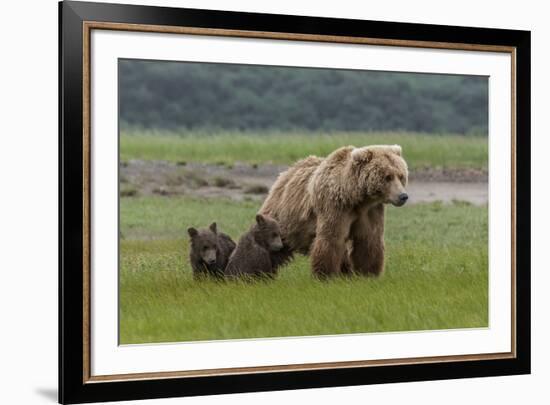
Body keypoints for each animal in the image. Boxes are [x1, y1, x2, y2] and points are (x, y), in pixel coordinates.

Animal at [260, 144, 410, 276]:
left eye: (401, 176)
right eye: (388, 177)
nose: (403, 196)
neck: (354, 197)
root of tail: (286, 172)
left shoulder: (370, 211)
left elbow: (369, 240)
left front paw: (368, 273)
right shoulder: (335, 207)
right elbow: (332, 239)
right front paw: (325, 274)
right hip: (284, 217)